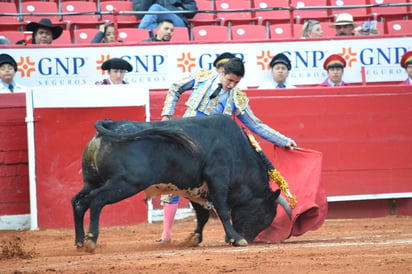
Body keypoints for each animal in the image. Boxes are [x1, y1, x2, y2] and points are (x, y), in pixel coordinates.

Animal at [71, 114, 290, 252]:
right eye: (266, 214)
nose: (250, 239)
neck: (235, 147)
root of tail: (111, 125)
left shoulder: (193, 188)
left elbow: (202, 215)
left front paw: (194, 238)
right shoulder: (217, 178)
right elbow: (222, 210)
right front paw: (236, 239)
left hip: (92, 181)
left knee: (78, 202)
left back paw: (80, 241)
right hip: (125, 183)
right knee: (96, 200)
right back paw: (91, 240)